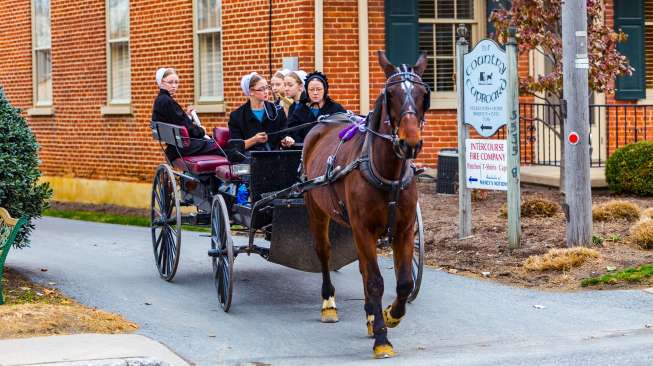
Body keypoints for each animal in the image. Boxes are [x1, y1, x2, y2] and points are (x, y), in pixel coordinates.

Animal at [302, 50, 428, 358]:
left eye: (423, 94)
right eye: (390, 94)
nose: (410, 142)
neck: (388, 172)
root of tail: (324, 121)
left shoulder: (404, 229)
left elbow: (404, 282)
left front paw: (390, 315)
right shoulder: (363, 228)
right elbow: (375, 281)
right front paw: (382, 338)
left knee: (363, 268)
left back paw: (371, 315)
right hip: (316, 210)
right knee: (324, 252)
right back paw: (329, 303)